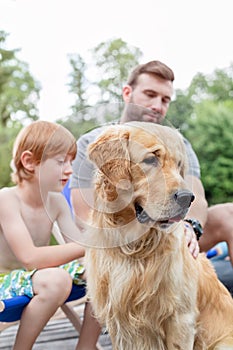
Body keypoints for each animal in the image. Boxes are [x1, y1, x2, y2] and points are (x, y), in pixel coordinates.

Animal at [84, 121, 233, 348]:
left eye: (179, 165)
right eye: (151, 159)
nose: (187, 197)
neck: (136, 248)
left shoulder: (181, 318)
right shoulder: (118, 322)